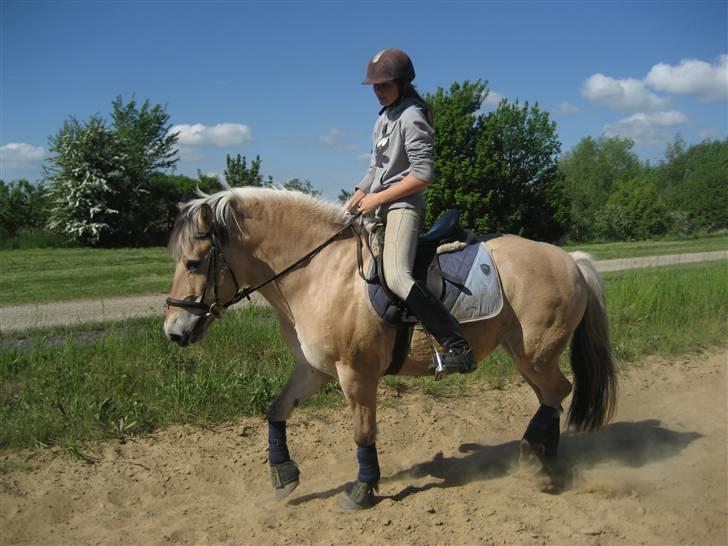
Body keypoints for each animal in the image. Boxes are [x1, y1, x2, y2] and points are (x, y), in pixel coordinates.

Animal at [163, 186, 617, 509]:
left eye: (193, 263)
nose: (173, 331)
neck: (318, 273)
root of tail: (571, 260)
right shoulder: (314, 369)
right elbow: (276, 410)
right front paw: (284, 474)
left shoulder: (355, 373)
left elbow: (363, 431)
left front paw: (363, 490)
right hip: (525, 354)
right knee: (550, 397)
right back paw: (535, 456)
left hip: (536, 353)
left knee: (557, 392)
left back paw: (541, 466)